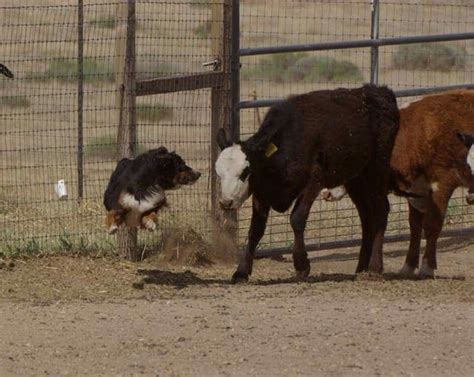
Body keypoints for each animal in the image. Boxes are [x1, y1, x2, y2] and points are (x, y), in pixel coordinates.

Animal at [218, 83, 400, 280]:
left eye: (245, 171)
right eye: (219, 172)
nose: (226, 202)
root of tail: (379, 91)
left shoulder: (314, 181)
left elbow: (297, 218)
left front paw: (302, 265)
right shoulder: (262, 191)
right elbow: (255, 229)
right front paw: (241, 271)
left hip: (377, 168)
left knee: (381, 210)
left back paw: (375, 267)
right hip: (355, 178)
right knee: (366, 216)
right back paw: (361, 268)